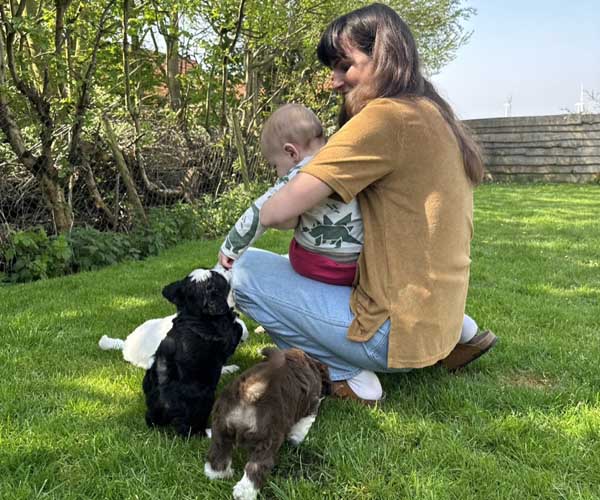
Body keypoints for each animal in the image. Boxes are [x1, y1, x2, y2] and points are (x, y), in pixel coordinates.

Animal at [142, 268, 247, 437]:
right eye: (218, 278)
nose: (225, 267)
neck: (194, 314)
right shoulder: (227, 337)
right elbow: (237, 325)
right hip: (204, 398)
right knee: (189, 430)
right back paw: (209, 432)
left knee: (150, 419)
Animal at [205, 347, 331, 500]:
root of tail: (251, 392)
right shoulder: (311, 406)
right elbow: (301, 428)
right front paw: (300, 441)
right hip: (267, 441)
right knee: (256, 467)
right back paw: (244, 493)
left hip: (221, 428)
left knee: (218, 453)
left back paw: (218, 474)